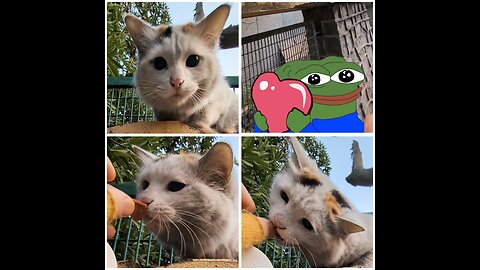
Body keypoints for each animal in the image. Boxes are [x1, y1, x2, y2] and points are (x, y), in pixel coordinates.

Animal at [123, 3, 237, 133]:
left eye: (193, 60)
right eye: (159, 63)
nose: (176, 81)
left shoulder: (225, 98)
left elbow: (206, 111)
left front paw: (203, 125)